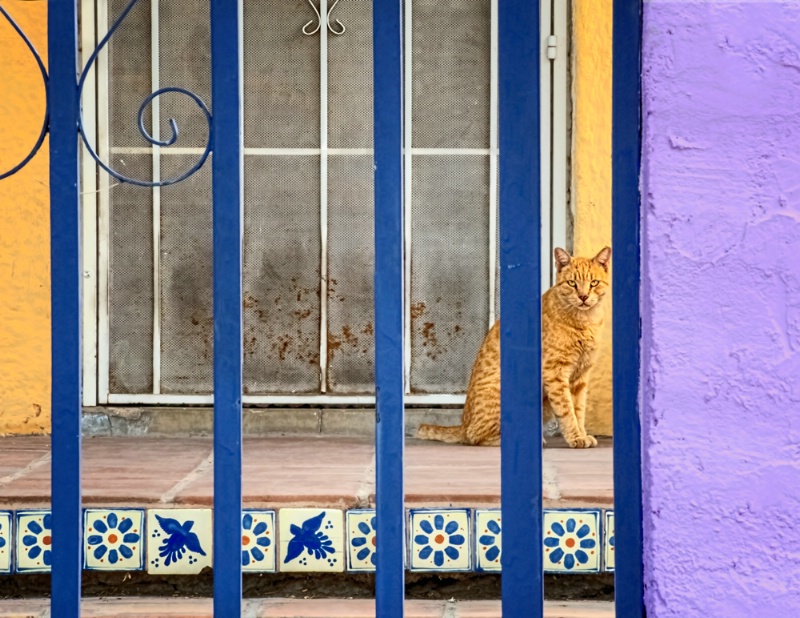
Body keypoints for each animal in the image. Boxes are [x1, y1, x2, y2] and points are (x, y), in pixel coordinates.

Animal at [416, 245, 608, 448]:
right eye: (572, 283)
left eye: (594, 283)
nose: (583, 296)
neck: (586, 320)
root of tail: (462, 425)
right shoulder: (555, 373)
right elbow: (567, 411)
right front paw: (575, 437)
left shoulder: (581, 377)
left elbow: (579, 411)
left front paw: (582, 434)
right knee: (477, 436)